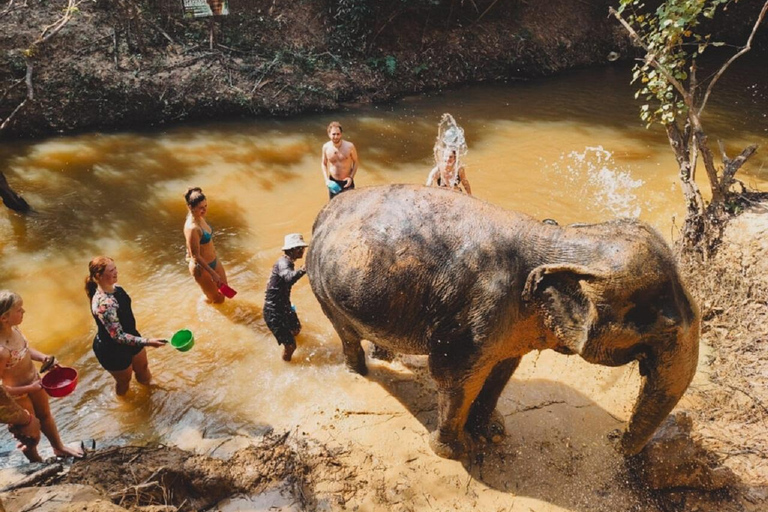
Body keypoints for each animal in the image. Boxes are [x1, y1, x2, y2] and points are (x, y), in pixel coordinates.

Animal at [308, 184, 704, 460]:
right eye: (666, 328)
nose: (613, 442)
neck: (556, 239)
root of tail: (324, 212)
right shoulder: (473, 316)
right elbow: (455, 377)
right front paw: (455, 451)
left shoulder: (514, 325)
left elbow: (503, 369)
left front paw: (492, 432)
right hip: (322, 288)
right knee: (345, 334)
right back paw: (359, 372)